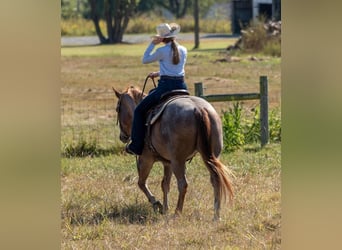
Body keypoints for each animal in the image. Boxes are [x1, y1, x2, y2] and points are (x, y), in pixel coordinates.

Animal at [113, 86, 234, 221]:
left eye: (118, 109)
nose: (122, 137)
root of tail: (198, 109)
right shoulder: (168, 163)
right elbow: (165, 184)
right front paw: (165, 209)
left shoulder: (146, 159)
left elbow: (141, 183)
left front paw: (157, 204)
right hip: (210, 156)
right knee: (215, 179)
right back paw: (216, 215)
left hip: (178, 161)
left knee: (183, 184)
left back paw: (177, 212)